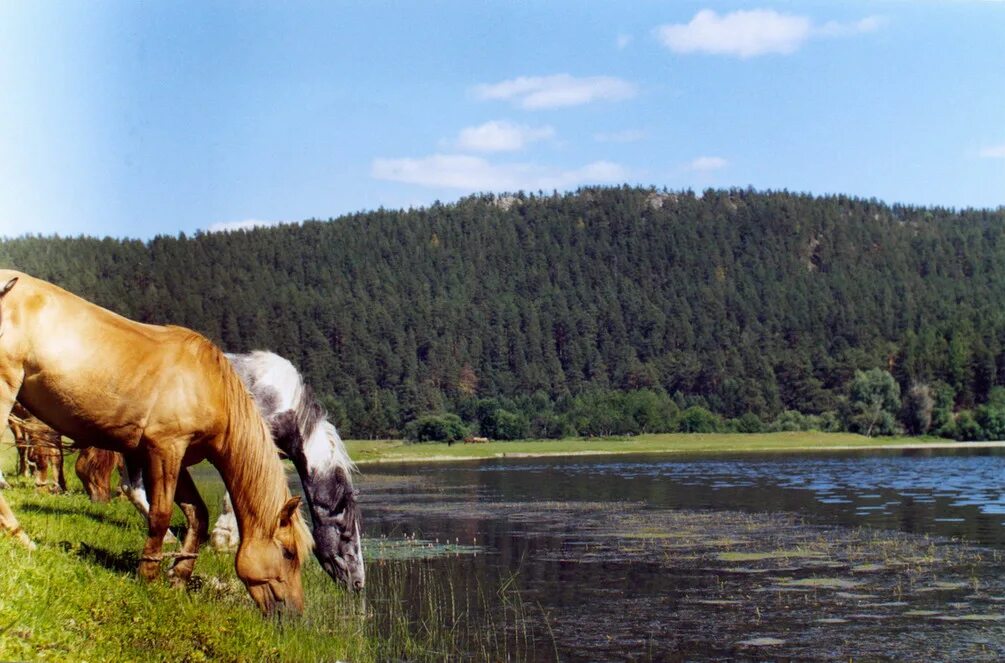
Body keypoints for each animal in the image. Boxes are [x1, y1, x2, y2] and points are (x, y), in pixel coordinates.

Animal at [0, 271, 311, 614]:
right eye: (288, 553)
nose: (295, 612)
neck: (210, 386)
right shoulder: (165, 449)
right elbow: (161, 514)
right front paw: (148, 574)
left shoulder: (179, 457)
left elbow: (198, 514)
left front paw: (179, 576)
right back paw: (23, 538)